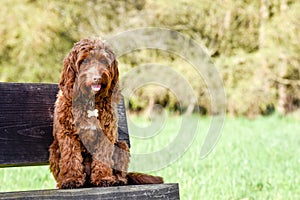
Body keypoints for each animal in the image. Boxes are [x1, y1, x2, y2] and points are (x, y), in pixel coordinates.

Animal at [49, 38, 163, 189]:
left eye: (103, 60)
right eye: (84, 61)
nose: (97, 78)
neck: (90, 101)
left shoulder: (106, 134)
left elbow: (102, 157)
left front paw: (104, 178)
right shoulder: (68, 134)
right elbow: (71, 157)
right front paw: (71, 179)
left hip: (122, 145)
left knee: (121, 172)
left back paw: (118, 179)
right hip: (54, 150)